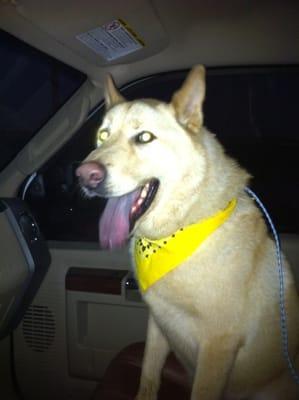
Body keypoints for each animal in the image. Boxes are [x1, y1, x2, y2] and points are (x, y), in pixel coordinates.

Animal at [77, 66, 299, 400]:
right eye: (103, 134)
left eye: (144, 137)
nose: (85, 175)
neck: (180, 227)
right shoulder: (158, 323)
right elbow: (148, 374)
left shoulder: (217, 347)